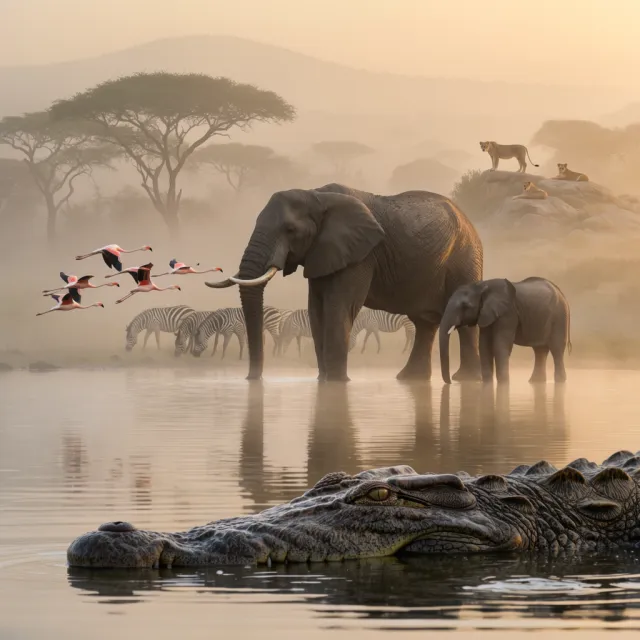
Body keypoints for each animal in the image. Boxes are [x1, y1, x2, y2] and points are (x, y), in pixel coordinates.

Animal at [206, 184, 483, 382]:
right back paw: (410, 380)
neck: (317, 195)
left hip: (465, 259)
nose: (252, 378)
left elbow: (339, 307)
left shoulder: (360, 255)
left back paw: (466, 380)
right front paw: (324, 381)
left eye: (290, 230)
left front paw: (337, 383)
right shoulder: (322, 253)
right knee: (424, 323)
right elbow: (316, 311)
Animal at [440, 277, 571, 385]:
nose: (450, 382)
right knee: (540, 350)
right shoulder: (487, 314)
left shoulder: (508, 313)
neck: (482, 286)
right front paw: (488, 384)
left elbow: (500, 345)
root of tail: (562, 294)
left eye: (465, 306)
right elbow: (484, 346)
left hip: (559, 317)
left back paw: (560, 381)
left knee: (557, 349)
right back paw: (536, 382)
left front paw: (503, 383)